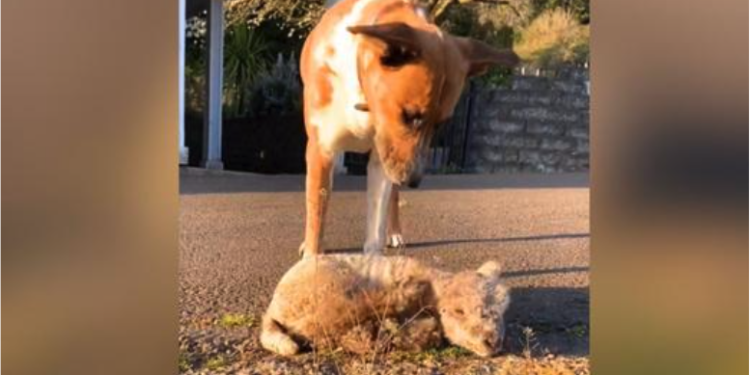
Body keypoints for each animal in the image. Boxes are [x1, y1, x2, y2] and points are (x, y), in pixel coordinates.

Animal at [260, 256, 512, 358]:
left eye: (501, 313)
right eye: (459, 311)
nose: (493, 342)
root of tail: (273, 307)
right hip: (329, 293)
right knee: (329, 329)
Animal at [298, 0, 516, 258]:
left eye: (441, 123)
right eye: (410, 116)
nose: (413, 180)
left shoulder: (383, 159)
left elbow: (376, 228)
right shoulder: (322, 150)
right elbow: (317, 213)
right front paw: (312, 256)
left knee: (392, 197)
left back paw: (394, 232)